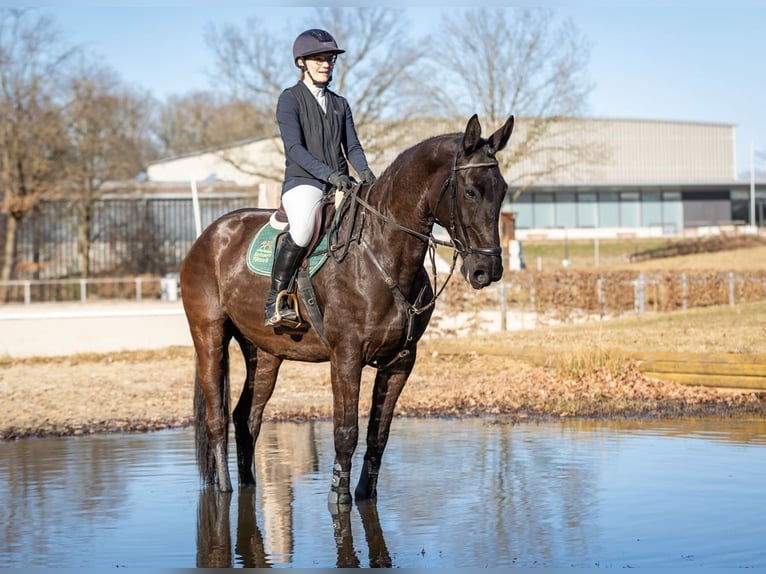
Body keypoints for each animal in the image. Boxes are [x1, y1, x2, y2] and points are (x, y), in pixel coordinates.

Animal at [180, 114, 515, 505]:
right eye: (470, 192)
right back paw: (225, 489)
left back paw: (248, 484)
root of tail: (211, 234)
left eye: (503, 190)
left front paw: (364, 494)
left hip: (265, 353)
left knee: (247, 419)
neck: (381, 252)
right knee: (217, 419)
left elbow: (378, 434)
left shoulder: (401, 360)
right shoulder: (346, 356)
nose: (487, 270)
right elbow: (346, 432)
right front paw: (338, 498)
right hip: (210, 336)